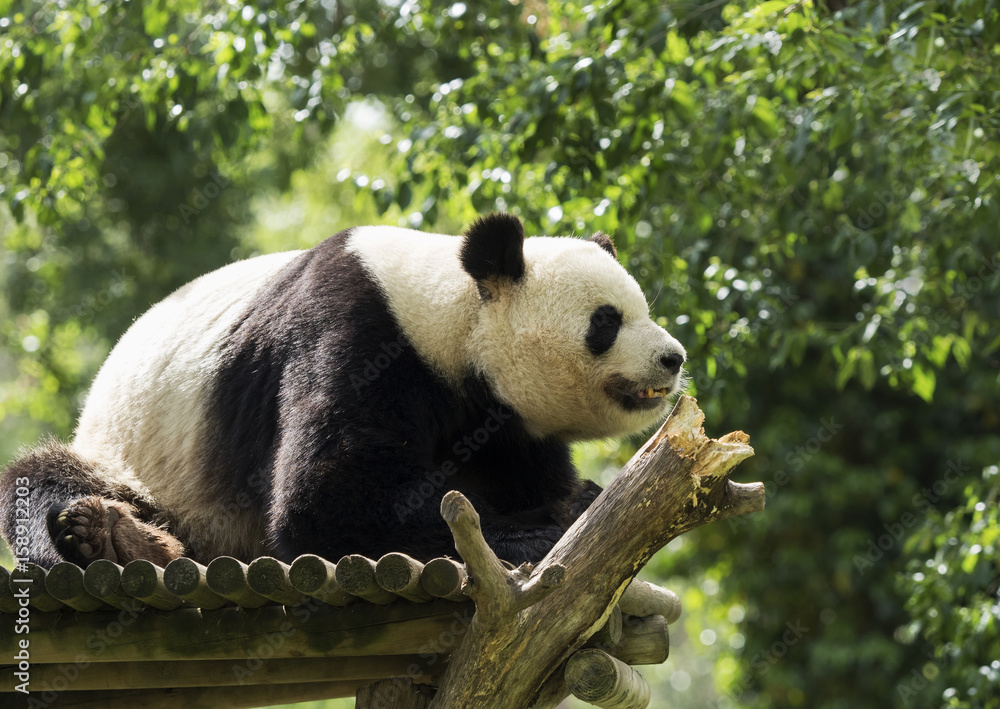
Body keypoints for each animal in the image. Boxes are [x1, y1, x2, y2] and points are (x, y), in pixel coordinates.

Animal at [0, 213, 685, 568]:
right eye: (606, 322)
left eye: (643, 310)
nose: (673, 357)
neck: (451, 314)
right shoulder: (354, 336)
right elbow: (328, 500)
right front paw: (539, 528)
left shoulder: (499, 422)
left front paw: (571, 500)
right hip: (142, 466)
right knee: (40, 484)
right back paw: (112, 535)